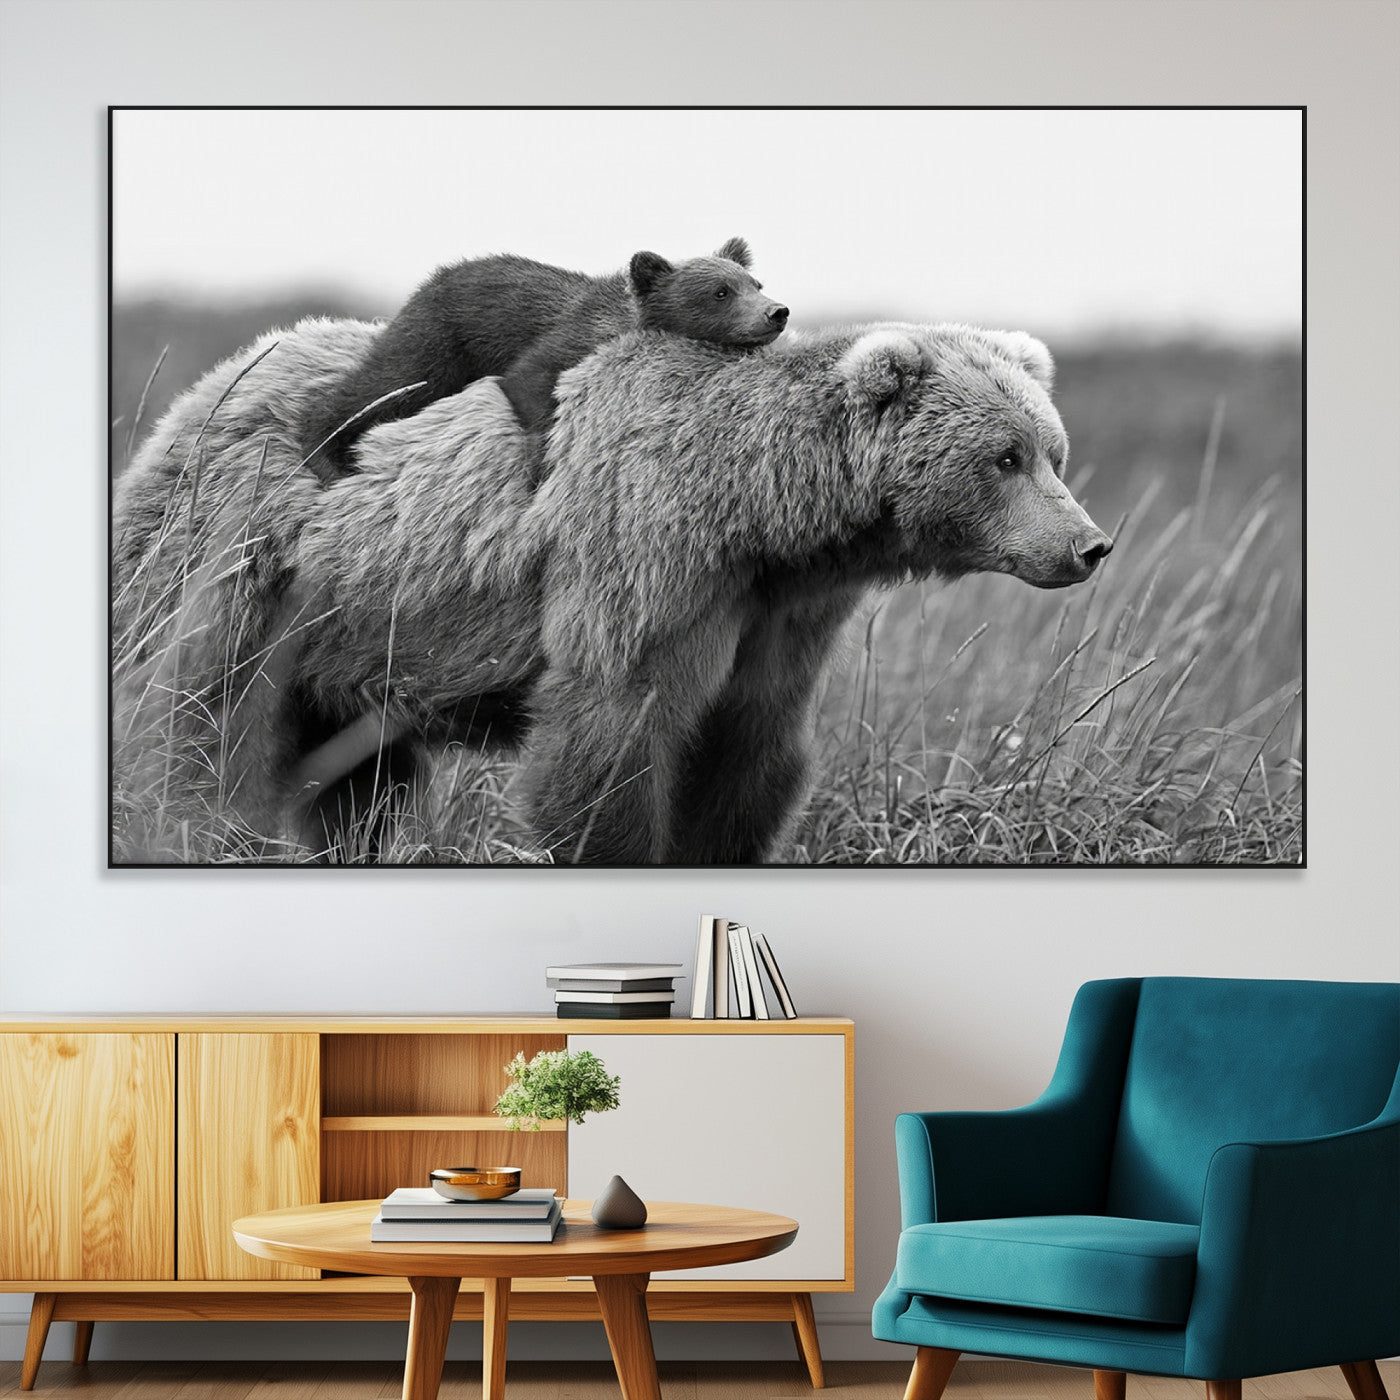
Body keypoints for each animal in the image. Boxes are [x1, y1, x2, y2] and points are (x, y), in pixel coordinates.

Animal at [111, 316, 1112, 865]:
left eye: (1053, 452)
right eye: (1005, 457)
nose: (1089, 544)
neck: (761, 514)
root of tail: (204, 388)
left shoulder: (778, 615)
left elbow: (748, 753)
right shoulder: (645, 558)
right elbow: (610, 736)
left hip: (355, 640)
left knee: (358, 781)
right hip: (248, 567)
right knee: (200, 724)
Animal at [300, 236, 788, 482]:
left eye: (755, 283)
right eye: (720, 292)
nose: (776, 312)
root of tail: (433, 277)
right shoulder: (566, 339)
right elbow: (529, 380)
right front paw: (541, 464)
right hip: (438, 340)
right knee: (384, 385)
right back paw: (325, 454)